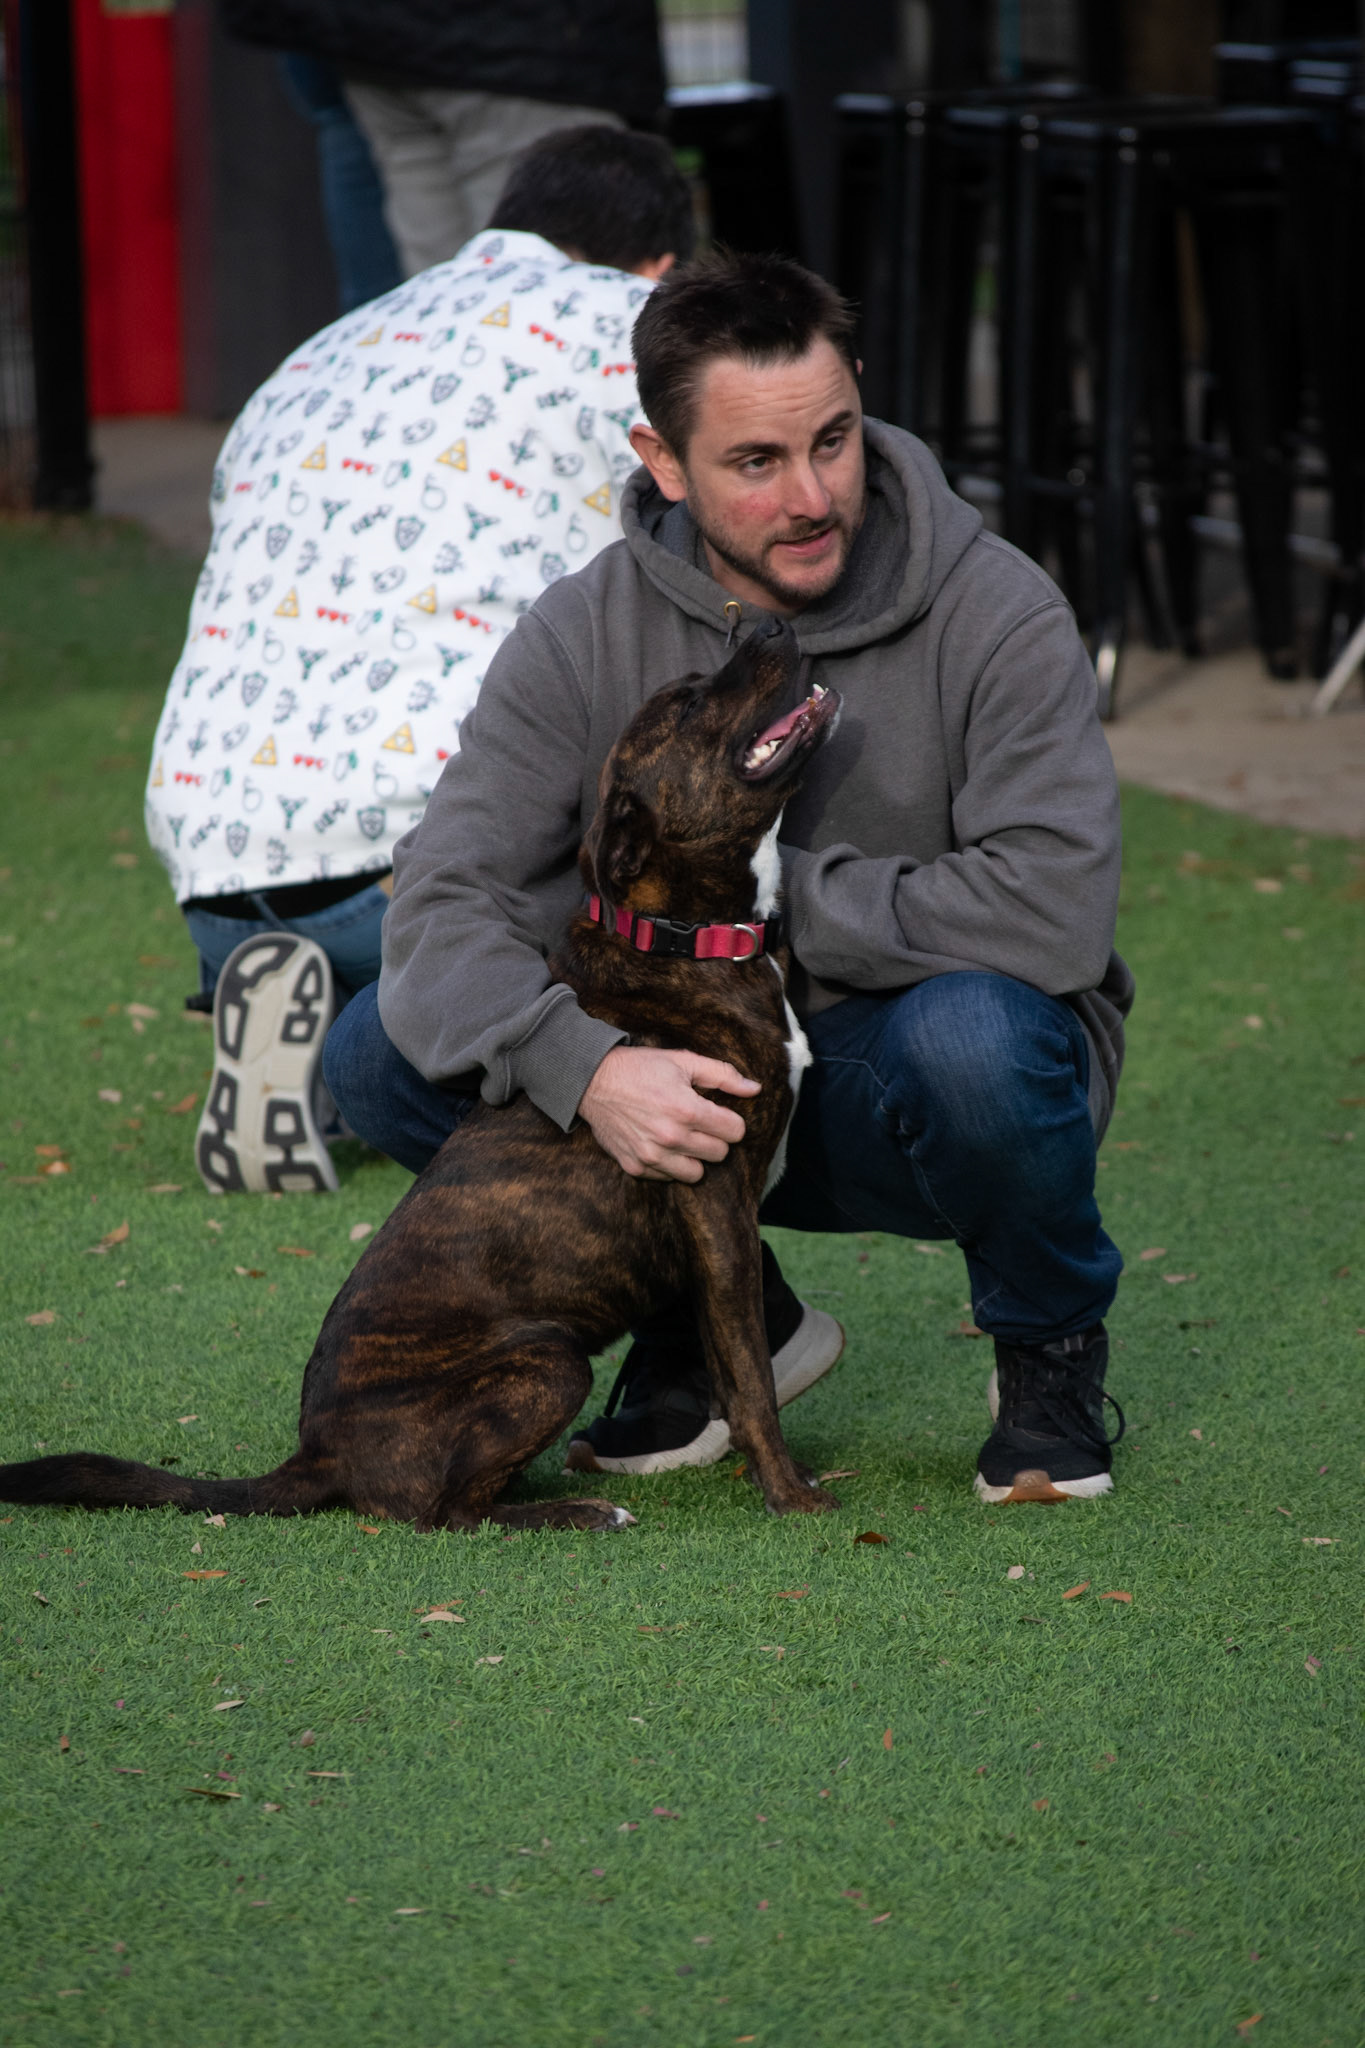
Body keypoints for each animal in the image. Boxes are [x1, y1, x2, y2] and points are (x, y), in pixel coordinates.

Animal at [0, 617, 842, 1532]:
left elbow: (733, 1363)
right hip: (549, 1362)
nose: (767, 624)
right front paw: (789, 1493)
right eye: (688, 703)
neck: (679, 941)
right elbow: (749, 1377)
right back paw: (576, 1513)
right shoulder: (712, 1199)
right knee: (448, 1512)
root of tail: (319, 1452)